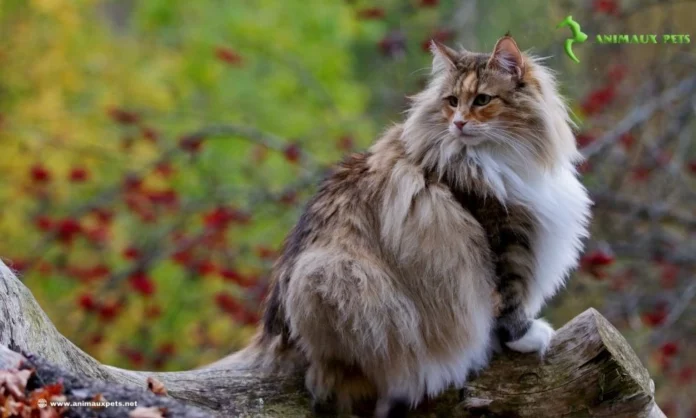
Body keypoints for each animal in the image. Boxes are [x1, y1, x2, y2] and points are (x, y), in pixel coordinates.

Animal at [232, 34, 588, 416]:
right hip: (333, 274)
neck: (495, 158)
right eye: (452, 102)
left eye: (482, 100)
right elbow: (508, 298)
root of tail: (273, 338)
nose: (458, 123)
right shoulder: (505, 236)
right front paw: (526, 337)